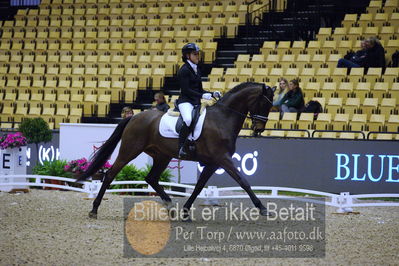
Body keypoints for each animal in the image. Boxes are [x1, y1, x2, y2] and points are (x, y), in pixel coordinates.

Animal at [76, 82, 276, 219]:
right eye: (264, 103)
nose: (259, 129)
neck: (222, 119)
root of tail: (134, 117)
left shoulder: (213, 163)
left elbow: (199, 187)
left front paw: (185, 212)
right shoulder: (223, 159)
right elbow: (243, 181)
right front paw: (262, 208)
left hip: (162, 156)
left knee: (151, 178)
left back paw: (170, 206)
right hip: (130, 150)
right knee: (110, 174)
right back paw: (94, 209)